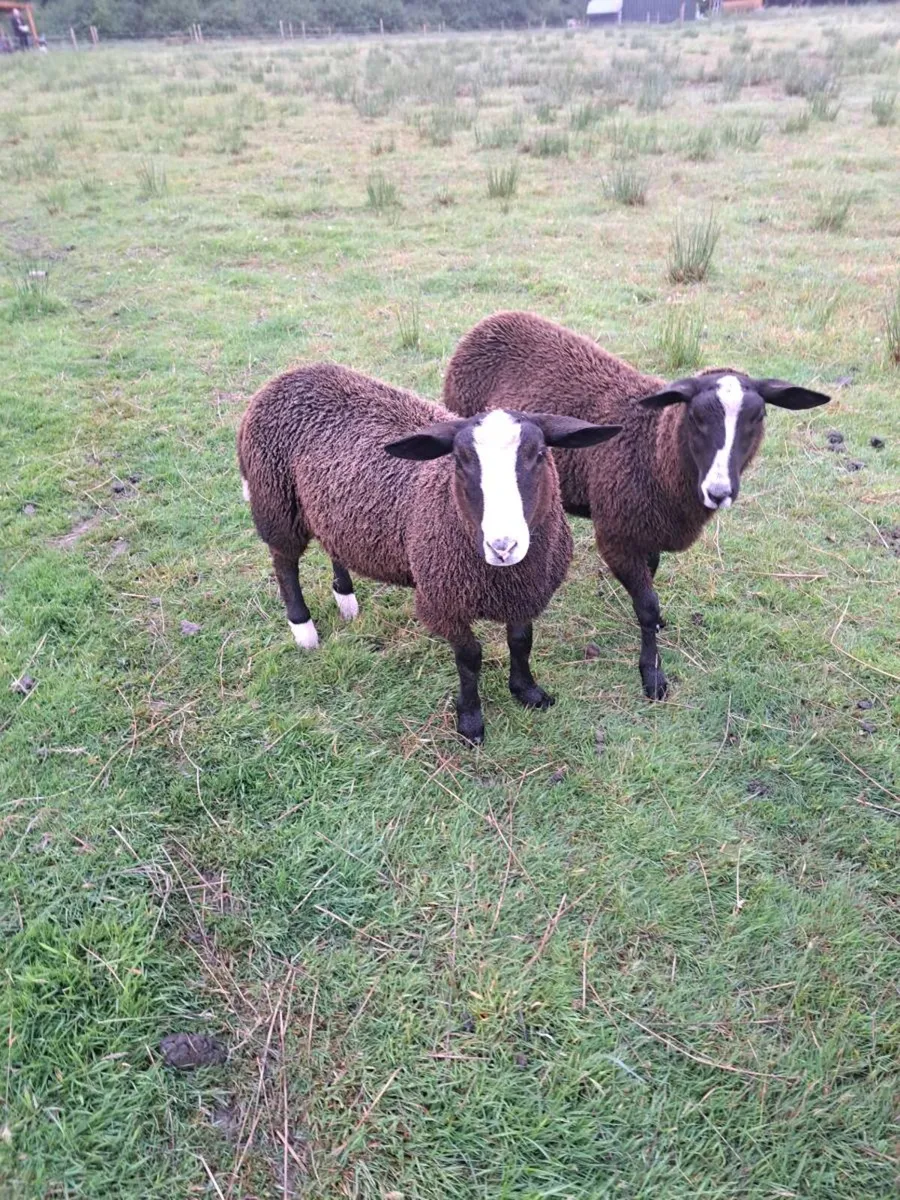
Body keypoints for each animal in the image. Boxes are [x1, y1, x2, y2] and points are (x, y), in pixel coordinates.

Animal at [237, 361, 620, 744]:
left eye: (539, 455)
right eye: (460, 461)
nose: (504, 546)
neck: (502, 575)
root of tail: (294, 373)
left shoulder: (526, 592)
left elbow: (521, 641)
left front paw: (528, 692)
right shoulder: (443, 601)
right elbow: (470, 658)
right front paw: (470, 721)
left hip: (328, 510)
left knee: (332, 545)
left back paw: (346, 600)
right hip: (276, 502)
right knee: (285, 563)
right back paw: (304, 630)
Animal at [443, 311, 830, 700]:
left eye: (758, 418)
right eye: (696, 418)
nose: (719, 491)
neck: (654, 447)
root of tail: (495, 319)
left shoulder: (648, 530)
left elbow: (651, 586)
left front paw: (656, 630)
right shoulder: (617, 536)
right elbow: (646, 605)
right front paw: (652, 674)